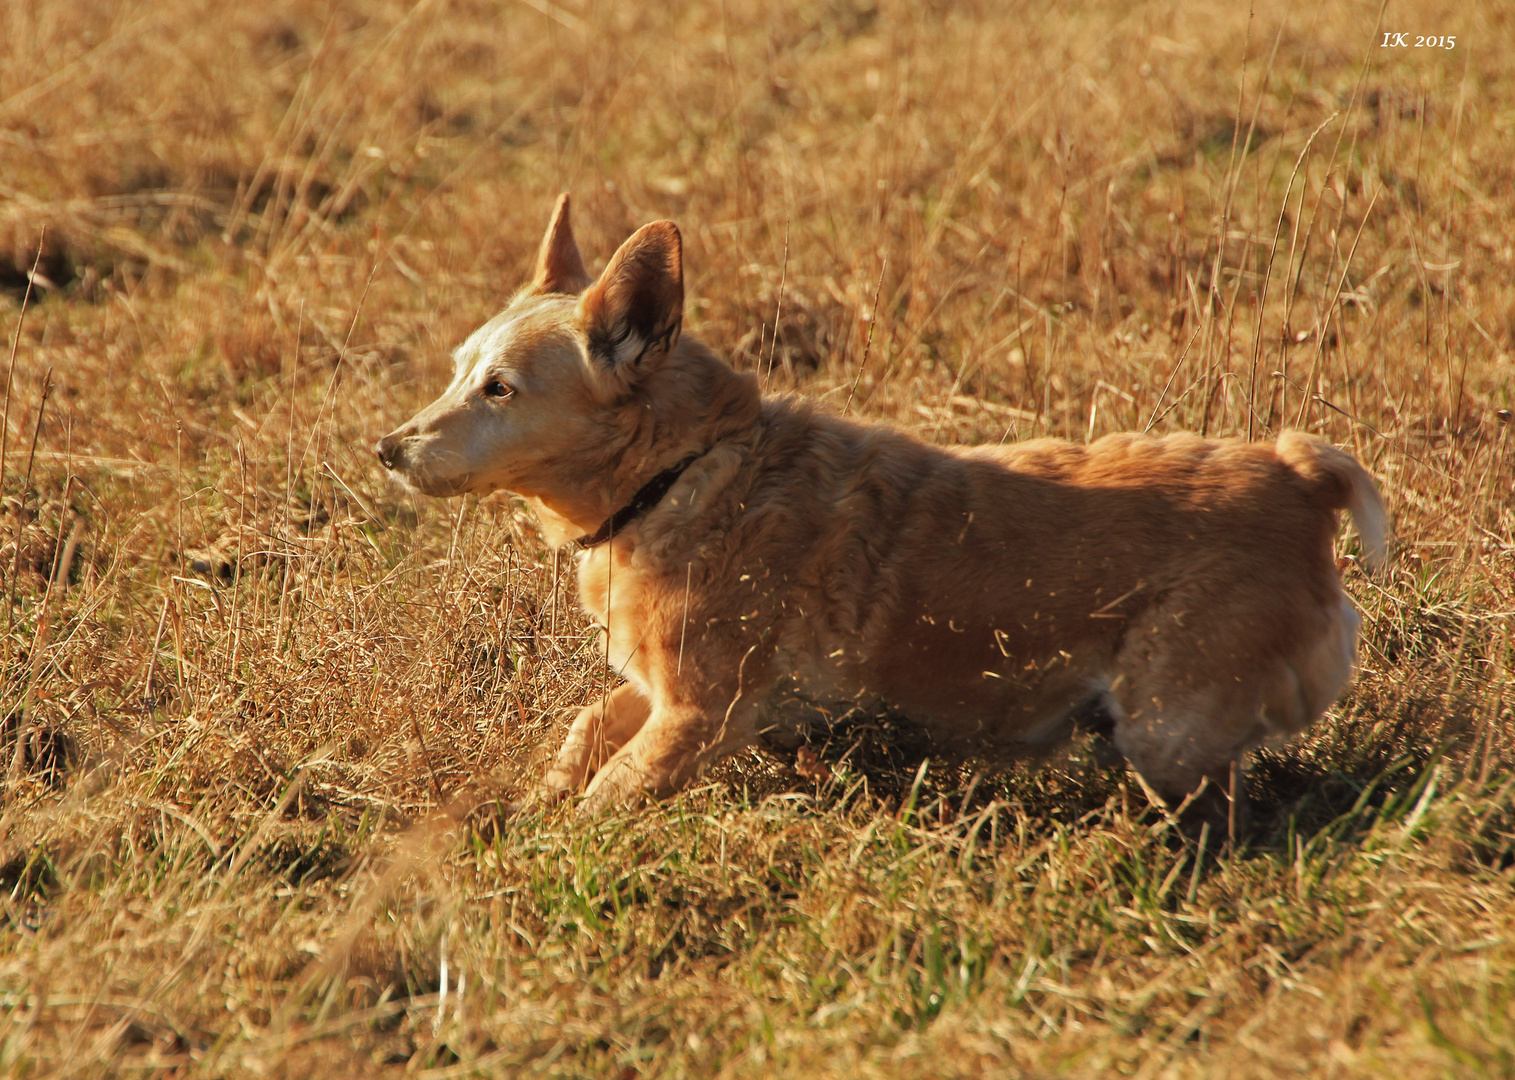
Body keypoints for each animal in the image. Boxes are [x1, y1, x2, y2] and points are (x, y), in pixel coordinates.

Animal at [375, 195, 1387, 836]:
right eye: (456, 370)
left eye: (500, 389)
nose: (386, 448)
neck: (684, 471)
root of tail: (1299, 481)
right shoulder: (658, 691)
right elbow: (583, 728)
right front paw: (524, 808)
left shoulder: (699, 714)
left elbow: (602, 804)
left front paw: (538, 854)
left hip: (1165, 732)